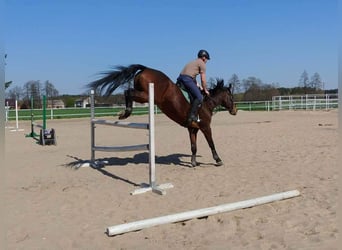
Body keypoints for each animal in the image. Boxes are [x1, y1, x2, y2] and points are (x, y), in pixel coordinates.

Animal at [88, 63, 236, 167]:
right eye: (231, 97)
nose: (235, 110)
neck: (206, 103)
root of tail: (146, 69)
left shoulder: (192, 129)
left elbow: (193, 146)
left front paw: (193, 162)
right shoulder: (206, 127)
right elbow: (211, 143)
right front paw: (218, 160)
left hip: (144, 95)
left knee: (128, 91)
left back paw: (125, 113)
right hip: (147, 95)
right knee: (128, 92)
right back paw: (126, 112)